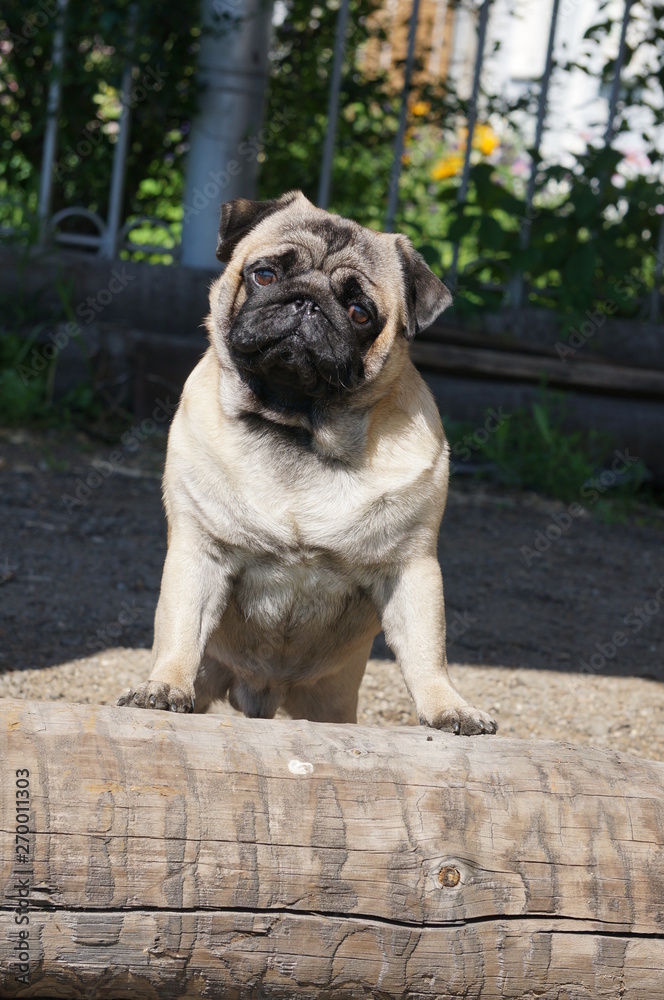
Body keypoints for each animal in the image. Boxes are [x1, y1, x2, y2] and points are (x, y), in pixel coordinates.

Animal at [116, 191, 496, 736]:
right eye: (265, 275)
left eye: (359, 312)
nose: (307, 300)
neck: (299, 428)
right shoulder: (200, 552)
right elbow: (180, 628)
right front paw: (163, 687)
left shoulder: (411, 568)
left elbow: (429, 652)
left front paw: (449, 707)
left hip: (331, 703)